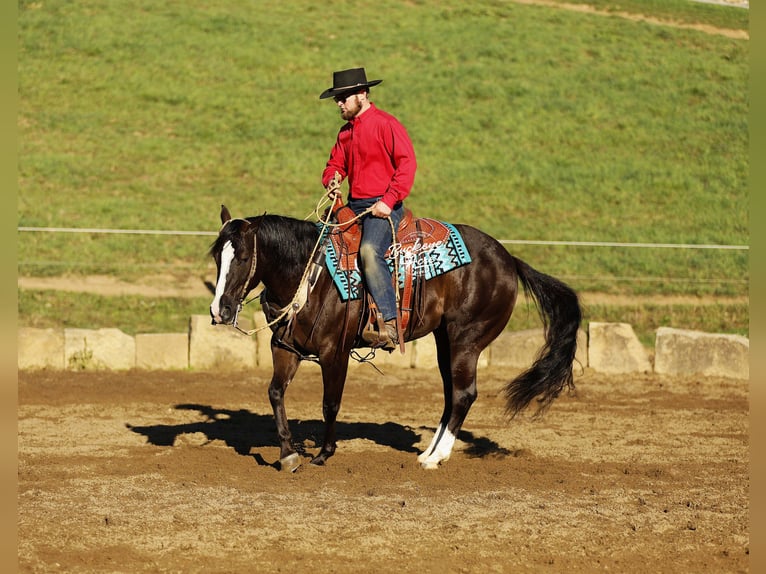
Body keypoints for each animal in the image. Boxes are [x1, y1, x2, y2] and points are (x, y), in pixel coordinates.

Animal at [209, 204, 582, 472]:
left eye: (243, 257)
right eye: (216, 257)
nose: (219, 310)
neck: (310, 275)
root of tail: (508, 260)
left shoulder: (334, 352)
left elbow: (330, 403)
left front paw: (324, 454)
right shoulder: (284, 348)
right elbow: (275, 393)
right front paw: (287, 453)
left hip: (467, 340)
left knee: (464, 394)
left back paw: (436, 457)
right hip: (445, 341)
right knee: (451, 394)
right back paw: (429, 451)